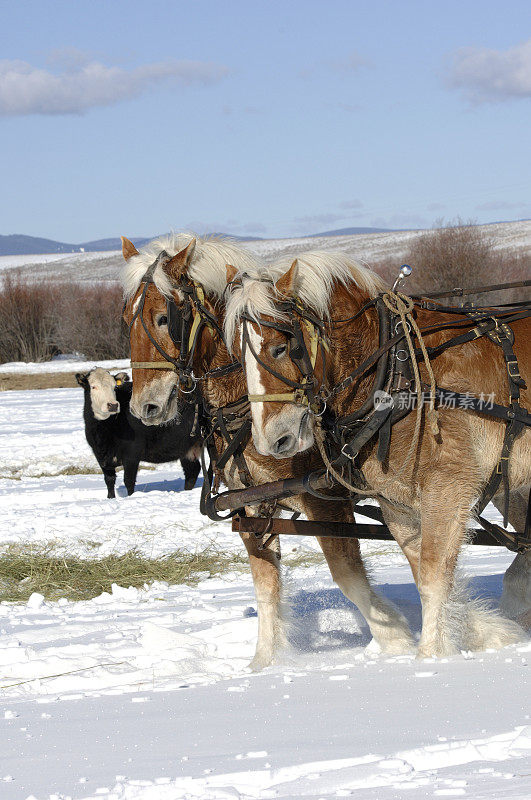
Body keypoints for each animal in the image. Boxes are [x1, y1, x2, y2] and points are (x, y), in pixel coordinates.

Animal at [75, 370, 200, 500]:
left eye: (114, 387)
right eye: (93, 386)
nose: (113, 405)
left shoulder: (131, 454)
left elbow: (128, 481)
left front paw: (131, 497)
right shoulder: (100, 456)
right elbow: (109, 480)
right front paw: (111, 498)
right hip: (187, 448)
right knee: (192, 471)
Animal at [225, 252, 531, 656]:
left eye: (281, 347)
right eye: (237, 357)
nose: (271, 441)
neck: (399, 373)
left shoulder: (448, 489)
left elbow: (433, 577)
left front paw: (430, 658)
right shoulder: (397, 503)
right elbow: (424, 576)